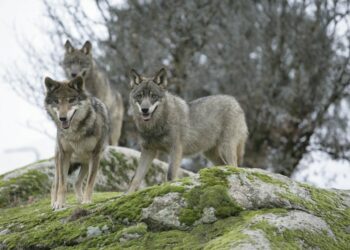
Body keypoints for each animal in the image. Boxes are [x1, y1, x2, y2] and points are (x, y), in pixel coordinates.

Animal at [44, 75, 109, 209]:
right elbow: (62, 185)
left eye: (71, 100)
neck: (75, 132)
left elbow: (90, 182)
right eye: (57, 101)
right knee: (55, 184)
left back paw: (80, 199)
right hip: (61, 161)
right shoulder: (64, 155)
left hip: (85, 163)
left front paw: (87, 201)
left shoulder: (95, 155)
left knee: (76, 182)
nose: (62, 118)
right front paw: (59, 204)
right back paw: (54, 203)